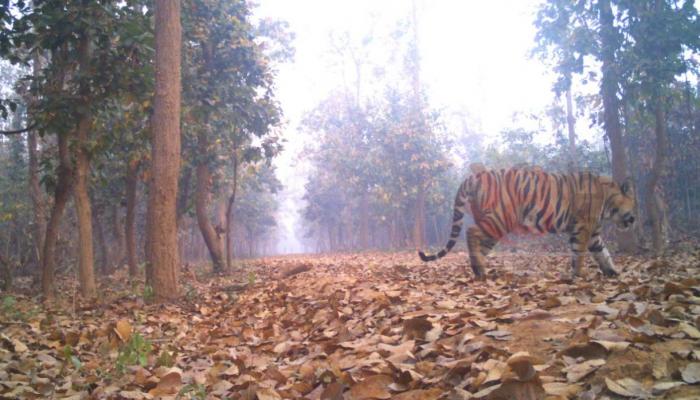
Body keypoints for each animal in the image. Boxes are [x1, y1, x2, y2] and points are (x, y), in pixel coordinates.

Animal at [418, 164, 636, 280]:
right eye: (634, 206)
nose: (634, 220)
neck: (608, 201)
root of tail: (475, 176)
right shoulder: (583, 227)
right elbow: (579, 253)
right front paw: (578, 275)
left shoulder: (593, 233)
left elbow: (603, 253)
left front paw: (613, 272)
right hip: (500, 219)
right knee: (471, 232)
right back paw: (479, 270)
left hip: (493, 226)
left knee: (480, 245)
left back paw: (479, 269)